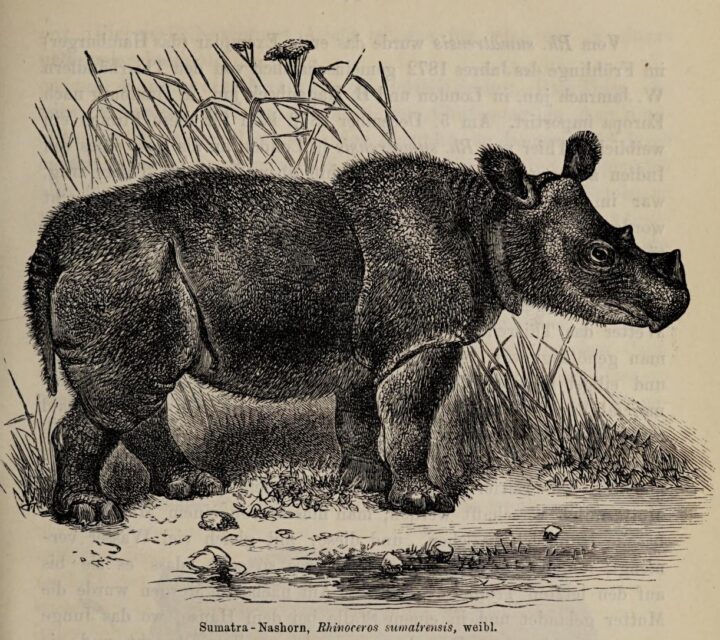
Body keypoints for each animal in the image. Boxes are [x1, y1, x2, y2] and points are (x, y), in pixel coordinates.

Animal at [25, 131, 689, 524]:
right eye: (599, 255)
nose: (678, 305)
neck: (494, 220)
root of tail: (55, 241)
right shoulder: (426, 339)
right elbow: (412, 415)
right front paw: (423, 501)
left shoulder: (371, 347)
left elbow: (360, 413)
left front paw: (366, 483)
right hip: (127, 268)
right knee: (130, 385)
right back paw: (93, 513)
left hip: (123, 271)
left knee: (137, 389)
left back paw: (193, 486)